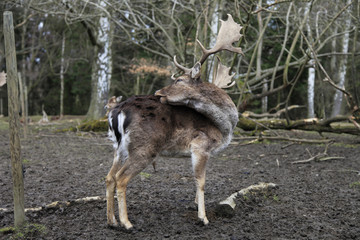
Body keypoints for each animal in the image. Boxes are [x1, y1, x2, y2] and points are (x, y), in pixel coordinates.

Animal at [105, 14, 243, 230]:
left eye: (179, 80)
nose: (158, 92)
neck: (222, 127)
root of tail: (117, 111)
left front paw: (195, 205)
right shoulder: (201, 145)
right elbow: (201, 181)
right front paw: (203, 218)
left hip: (117, 147)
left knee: (109, 177)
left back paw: (111, 221)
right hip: (144, 148)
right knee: (121, 178)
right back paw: (127, 223)